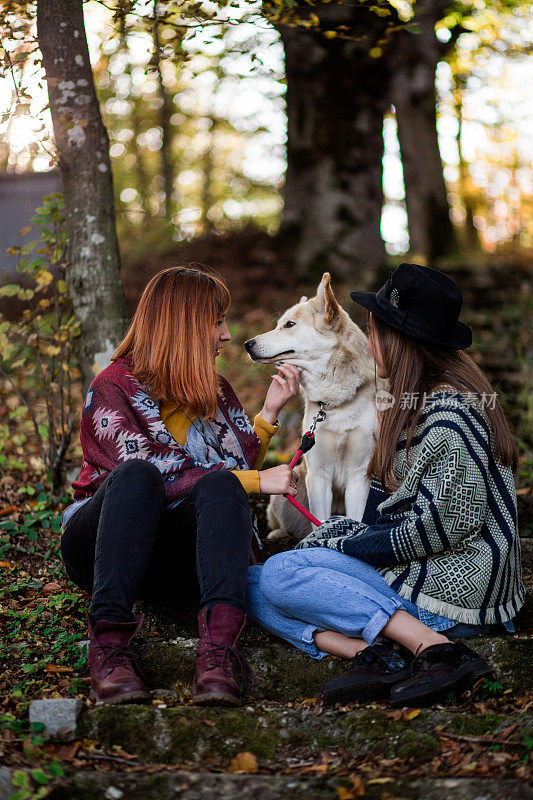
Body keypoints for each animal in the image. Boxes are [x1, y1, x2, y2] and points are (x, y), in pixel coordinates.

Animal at [245, 272, 382, 540]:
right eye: (279, 324)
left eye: (289, 325)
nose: (248, 344)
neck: (335, 403)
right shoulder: (318, 476)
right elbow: (319, 522)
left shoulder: (358, 476)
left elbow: (355, 519)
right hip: (286, 489)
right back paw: (280, 535)